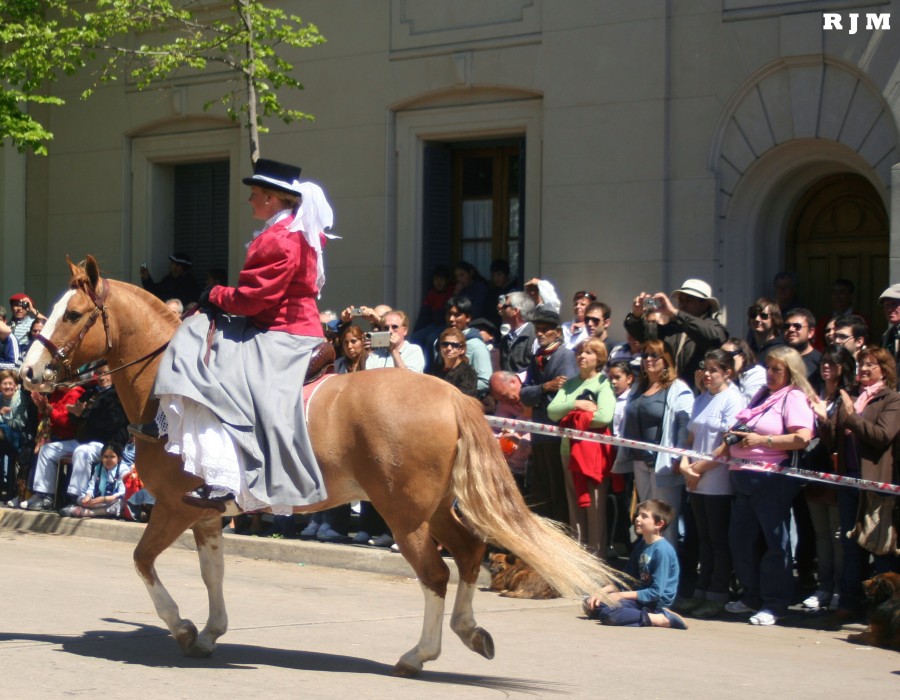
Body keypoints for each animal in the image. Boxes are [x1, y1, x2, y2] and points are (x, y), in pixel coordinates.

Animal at [22, 258, 624, 680]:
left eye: (72, 314)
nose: (29, 371)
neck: (168, 386)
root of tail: (451, 395)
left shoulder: (173, 506)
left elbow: (143, 562)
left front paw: (184, 628)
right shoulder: (207, 513)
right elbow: (213, 573)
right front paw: (211, 631)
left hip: (403, 514)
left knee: (436, 573)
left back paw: (418, 655)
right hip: (432, 508)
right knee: (471, 553)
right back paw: (469, 633)